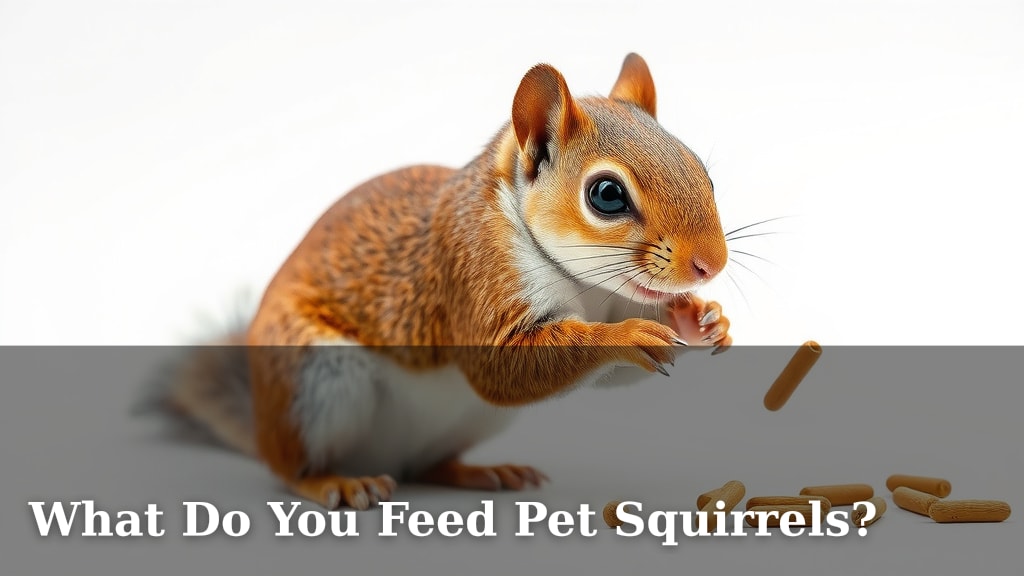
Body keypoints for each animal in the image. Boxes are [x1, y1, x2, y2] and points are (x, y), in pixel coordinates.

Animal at [140, 53, 732, 511]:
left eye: (701, 170)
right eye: (606, 195)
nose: (712, 264)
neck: (586, 287)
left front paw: (703, 319)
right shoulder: (469, 270)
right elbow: (500, 366)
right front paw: (627, 335)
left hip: (468, 420)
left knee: (428, 465)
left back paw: (479, 472)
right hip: (310, 379)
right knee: (289, 469)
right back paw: (334, 481)